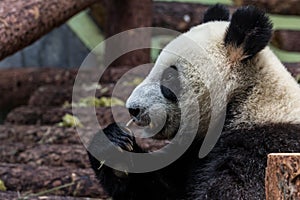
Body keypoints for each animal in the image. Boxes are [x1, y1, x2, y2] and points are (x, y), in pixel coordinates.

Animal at [88, 4, 300, 200]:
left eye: (169, 77)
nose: (133, 109)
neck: (246, 98)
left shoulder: (263, 146)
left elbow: (235, 191)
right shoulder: (192, 151)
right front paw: (113, 148)